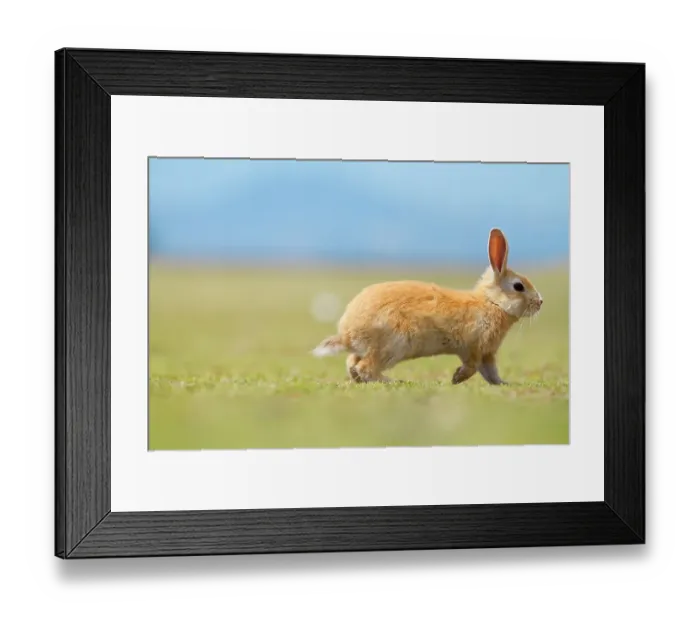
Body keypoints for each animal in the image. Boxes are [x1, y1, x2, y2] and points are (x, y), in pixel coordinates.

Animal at [312, 228, 543, 385]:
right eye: (518, 286)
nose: (540, 302)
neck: (492, 302)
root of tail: (347, 334)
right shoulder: (475, 347)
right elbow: (472, 367)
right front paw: (457, 378)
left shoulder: (487, 353)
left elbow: (491, 373)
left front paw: (504, 384)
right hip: (393, 345)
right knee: (365, 368)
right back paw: (393, 381)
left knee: (352, 365)